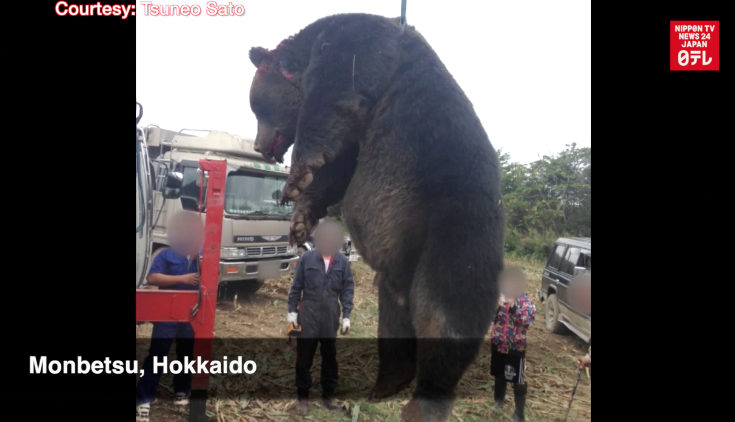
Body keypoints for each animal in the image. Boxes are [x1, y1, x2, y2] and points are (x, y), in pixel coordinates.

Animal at [248, 13, 505, 422]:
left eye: (257, 107)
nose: (260, 146)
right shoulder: (358, 138)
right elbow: (336, 169)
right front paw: (301, 219)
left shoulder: (360, 49)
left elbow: (334, 94)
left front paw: (296, 176)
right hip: (401, 271)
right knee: (396, 322)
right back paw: (386, 384)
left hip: (456, 227)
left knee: (445, 315)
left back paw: (422, 402)